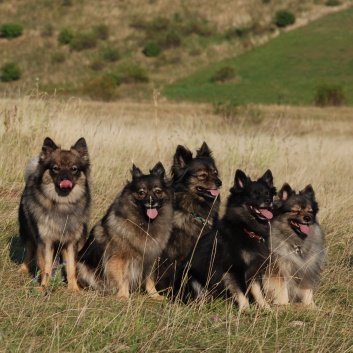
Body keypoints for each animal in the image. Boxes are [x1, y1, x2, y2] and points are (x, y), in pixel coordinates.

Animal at [18, 136, 91, 290]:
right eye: (55, 168)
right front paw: (44, 288)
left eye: (74, 169)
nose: (65, 178)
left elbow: (71, 267)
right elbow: (46, 266)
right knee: (29, 252)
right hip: (28, 233)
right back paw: (23, 269)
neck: (62, 204)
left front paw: (74, 289)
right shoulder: (45, 241)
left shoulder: (71, 243)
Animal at [76, 161, 173, 298]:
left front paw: (155, 295)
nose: (151, 202)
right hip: (81, 266)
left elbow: (150, 279)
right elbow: (123, 278)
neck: (144, 222)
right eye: (141, 192)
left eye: (158, 191)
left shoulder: (149, 258)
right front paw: (123, 296)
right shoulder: (119, 258)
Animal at [177, 169, 276, 310]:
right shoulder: (234, 269)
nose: (268, 200)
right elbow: (242, 292)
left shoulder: (255, 269)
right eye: (255, 194)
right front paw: (246, 309)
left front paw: (266, 308)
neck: (247, 229)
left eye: (268, 193)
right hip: (190, 277)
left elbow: (259, 292)